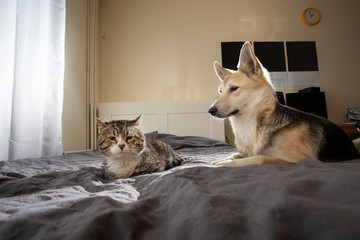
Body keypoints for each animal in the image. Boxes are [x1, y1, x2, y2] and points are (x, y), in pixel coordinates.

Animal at [208, 41, 360, 167]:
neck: (249, 126)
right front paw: (225, 158)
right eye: (220, 92)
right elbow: (235, 154)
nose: (211, 111)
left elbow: (260, 157)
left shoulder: (302, 159)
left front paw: (227, 163)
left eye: (234, 88)